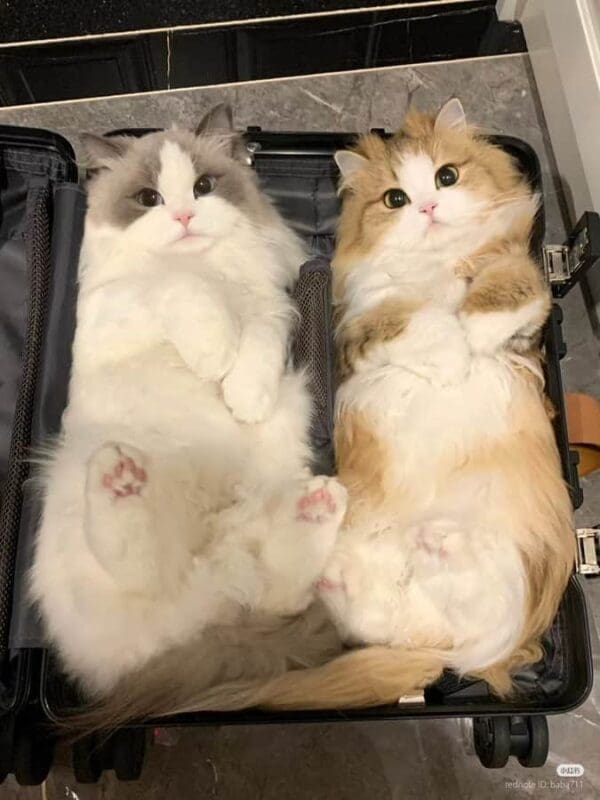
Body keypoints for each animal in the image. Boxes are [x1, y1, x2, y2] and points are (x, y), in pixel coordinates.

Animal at [30, 104, 347, 714]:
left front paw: (242, 396)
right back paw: (120, 478)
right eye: (148, 199)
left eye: (203, 187)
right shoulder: (119, 306)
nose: (182, 216)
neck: (213, 270)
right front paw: (212, 354)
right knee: (136, 563)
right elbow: (176, 285)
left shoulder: (271, 309)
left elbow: (255, 347)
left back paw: (319, 503)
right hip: (82, 494)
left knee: (276, 586)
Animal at [147, 98, 575, 714]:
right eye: (395, 199)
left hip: (500, 567)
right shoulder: (360, 330)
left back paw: (432, 546)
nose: (428, 207)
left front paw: (468, 338)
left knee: (456, 617)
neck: (435, 267)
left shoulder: (524, 299)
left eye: (447, 176)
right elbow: (412, 320)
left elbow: (505, 290)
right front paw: (453, 356)